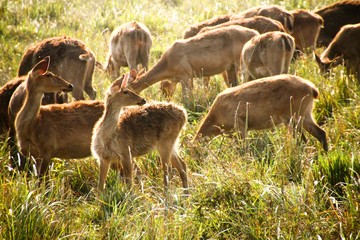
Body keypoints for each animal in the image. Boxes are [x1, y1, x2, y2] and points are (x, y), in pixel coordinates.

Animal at [194, 73, 330, 152]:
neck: (217, 119)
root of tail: (312, 89)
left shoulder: (240, 124)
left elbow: (243, 147)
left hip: (292, 116)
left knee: (302, 139)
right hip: (306, 114)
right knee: (321, 133)